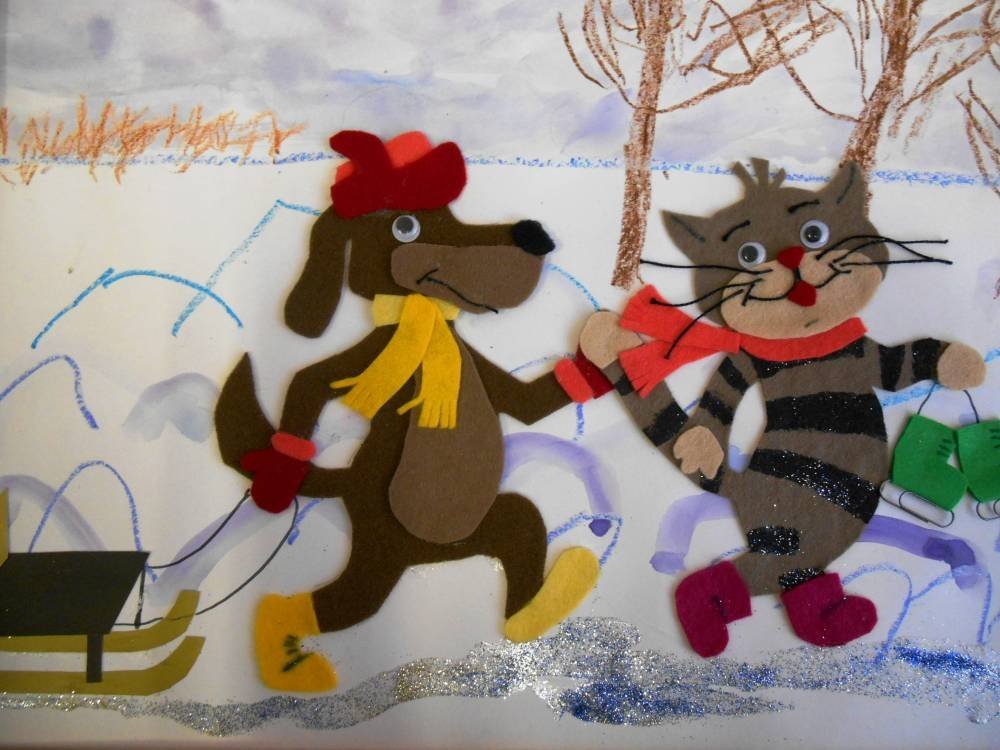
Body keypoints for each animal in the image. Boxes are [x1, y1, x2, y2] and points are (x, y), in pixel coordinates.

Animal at [214, 130, 600, 692]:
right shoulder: (364, 357)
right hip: (379, 555)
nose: (532, 235)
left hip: (486, 523)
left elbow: (528, 406)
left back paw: (546, 603)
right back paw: (292, 666)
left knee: (524, 530)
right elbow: (307, 382)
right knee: (318, 604)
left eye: (453, 214)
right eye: (405, 225)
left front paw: (611, 353)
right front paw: (277, 478)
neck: (428, 322)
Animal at [568, 158, 986, 657]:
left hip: (805, 541)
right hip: (783, 528)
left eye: (814, 233)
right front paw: (700, 446)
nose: (791, 257)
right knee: (747, 574)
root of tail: (741, 484)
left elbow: (903, 363)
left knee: (796, 580)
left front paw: (960, 361)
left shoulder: (865, 354)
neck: (806, 347)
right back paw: (704, 622)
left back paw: (835, 620)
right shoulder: (746, 361)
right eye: (748, 254)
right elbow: (718, 399)